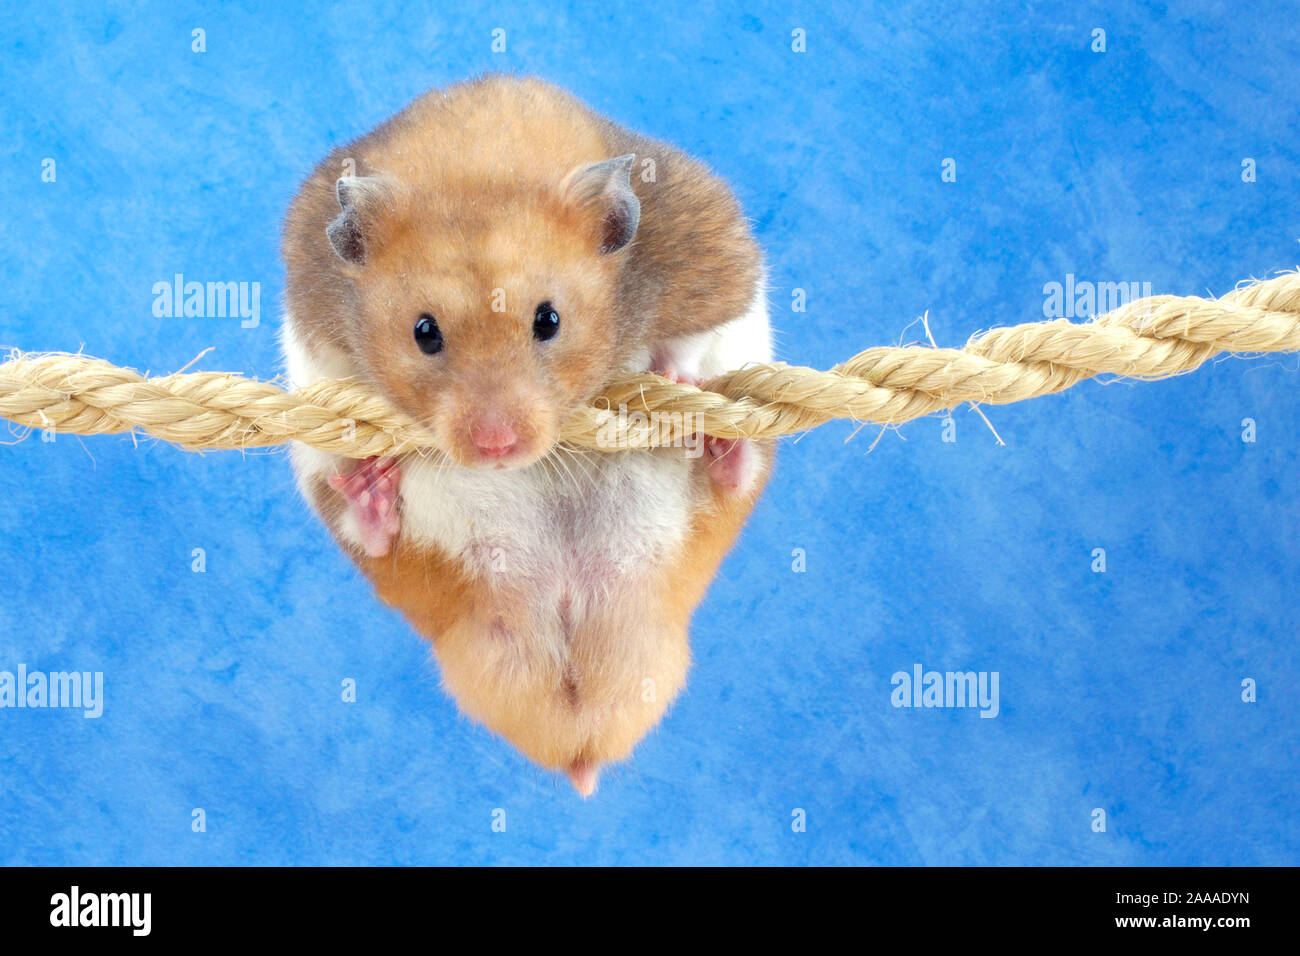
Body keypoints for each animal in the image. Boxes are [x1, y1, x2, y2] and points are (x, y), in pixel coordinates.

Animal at [280, 75, 773, 796]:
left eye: (549, 320)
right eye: (424, 332)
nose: (496, 448)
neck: (482, 165)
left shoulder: (718, 266)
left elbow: (697, 331)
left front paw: (670, 371)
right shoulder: (314, 334)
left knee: (730, 480)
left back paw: (714, 440)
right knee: (376, 531)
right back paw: (371, 489)